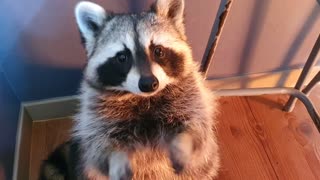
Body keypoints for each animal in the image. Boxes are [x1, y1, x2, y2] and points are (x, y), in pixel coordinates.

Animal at [39, 0, 220, 179]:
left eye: (158, 50)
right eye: (122, 57)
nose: (148, 84)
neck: (144, 98)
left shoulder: (190, 95)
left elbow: (197, 127)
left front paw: (183, 144)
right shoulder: (95, 114)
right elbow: (101, 146)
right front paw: (117, 159)